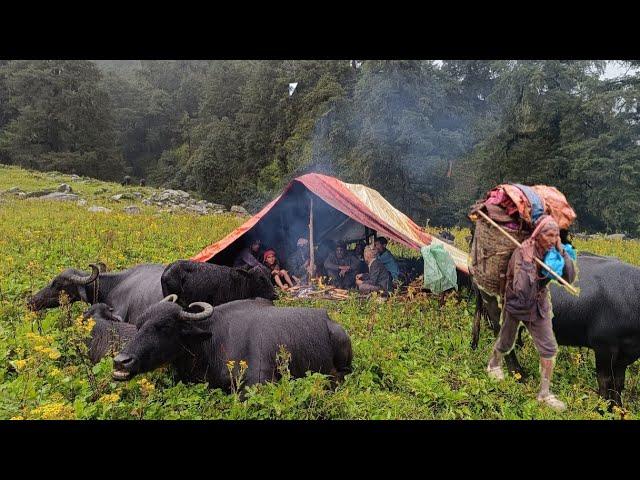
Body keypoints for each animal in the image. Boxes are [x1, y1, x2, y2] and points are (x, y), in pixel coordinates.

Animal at [476, 253, 640, 406]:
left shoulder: (625, 354)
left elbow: (618, 383)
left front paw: (617, 408)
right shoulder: (604, 347)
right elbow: (605, 382)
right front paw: (602, 409)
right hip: (498, 312)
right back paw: (519, 375)